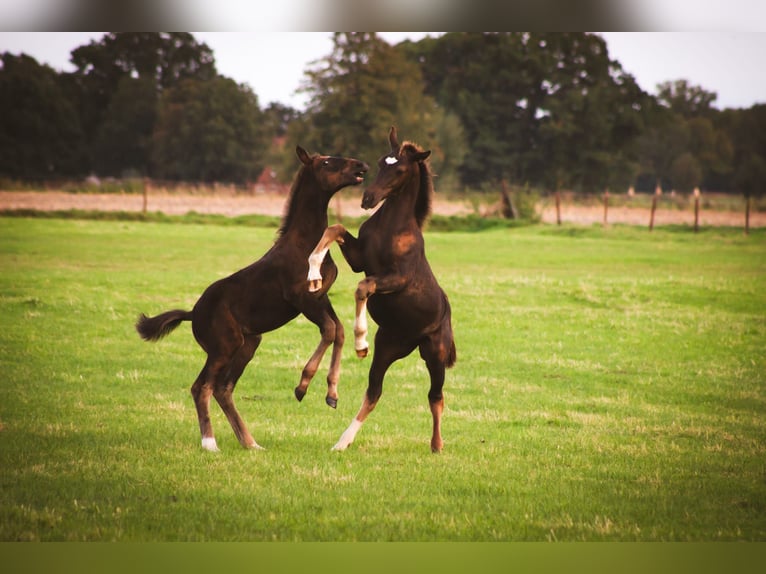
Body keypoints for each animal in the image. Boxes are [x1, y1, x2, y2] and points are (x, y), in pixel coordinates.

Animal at [136, 146, 368, 451]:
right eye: (327, 162)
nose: (361, 166)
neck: (307, 243)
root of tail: (193, 313)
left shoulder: (320, 297)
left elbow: (338, 331)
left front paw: (332, 394)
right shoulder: (301, 298)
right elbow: (330, 330)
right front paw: (302, 386)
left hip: (248, 344)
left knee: (223, 389)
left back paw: (250, 443)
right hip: (224, 347)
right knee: (202, 387)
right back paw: (210, 443)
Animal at [307, 127, 456, 453]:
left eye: (399, 169)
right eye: (379, 162)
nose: (368, 198)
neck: (392, 228)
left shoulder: (397, 278)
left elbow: (364, 287)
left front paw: (360, 340)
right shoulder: (360, 259)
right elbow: (334, 229)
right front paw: (312, 274)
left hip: (434, 355)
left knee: (435, 397)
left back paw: (437, 445)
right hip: (387, 349)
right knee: (374, 392)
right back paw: (342, 442)